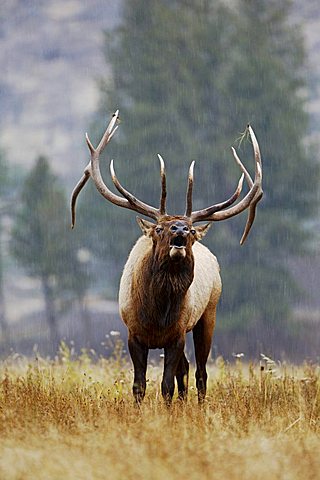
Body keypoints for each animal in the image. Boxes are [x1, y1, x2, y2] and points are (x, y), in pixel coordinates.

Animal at [70, 110, 262, 404]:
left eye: (192, 231)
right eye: (159, 228)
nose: (180, 228)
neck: (157, 315)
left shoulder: (176, 335)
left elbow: (166, 385)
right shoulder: (133, 334)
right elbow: (139, 385)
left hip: (209, 313)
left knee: (200, 372)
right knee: (186, 369)